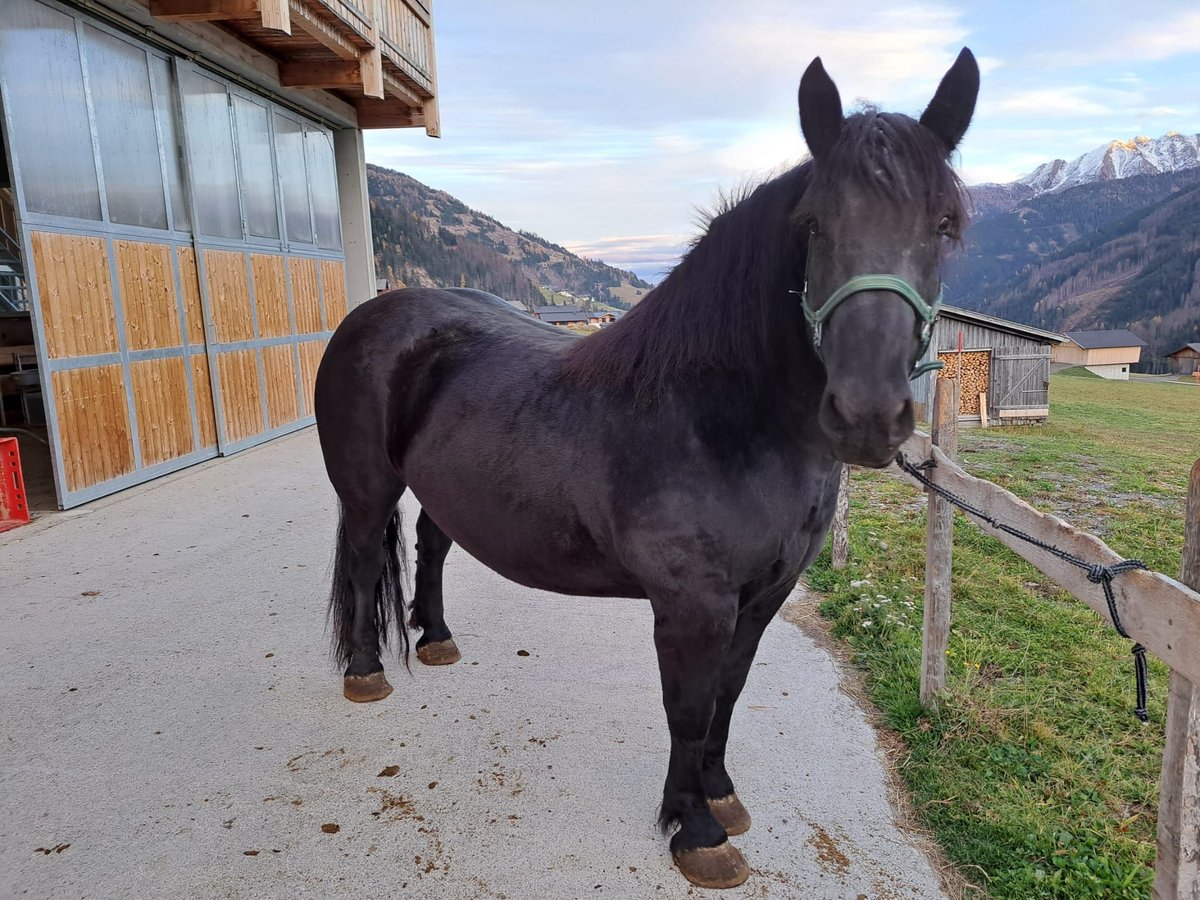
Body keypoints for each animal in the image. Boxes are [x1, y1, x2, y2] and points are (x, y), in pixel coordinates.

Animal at [314, 47, 979, 888]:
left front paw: (720, 795)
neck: (718, 417)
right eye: (813, 224)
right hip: (368, 488)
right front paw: (696, 831)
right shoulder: (692, 604)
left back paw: (434, 638)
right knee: (367, 560)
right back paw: (367, 672)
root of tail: (372, 315)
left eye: (945, 224)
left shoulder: (763, 596)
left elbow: (728, 694)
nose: (866, 413)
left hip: (444, 488)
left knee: (431, 546)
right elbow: (688, 710)